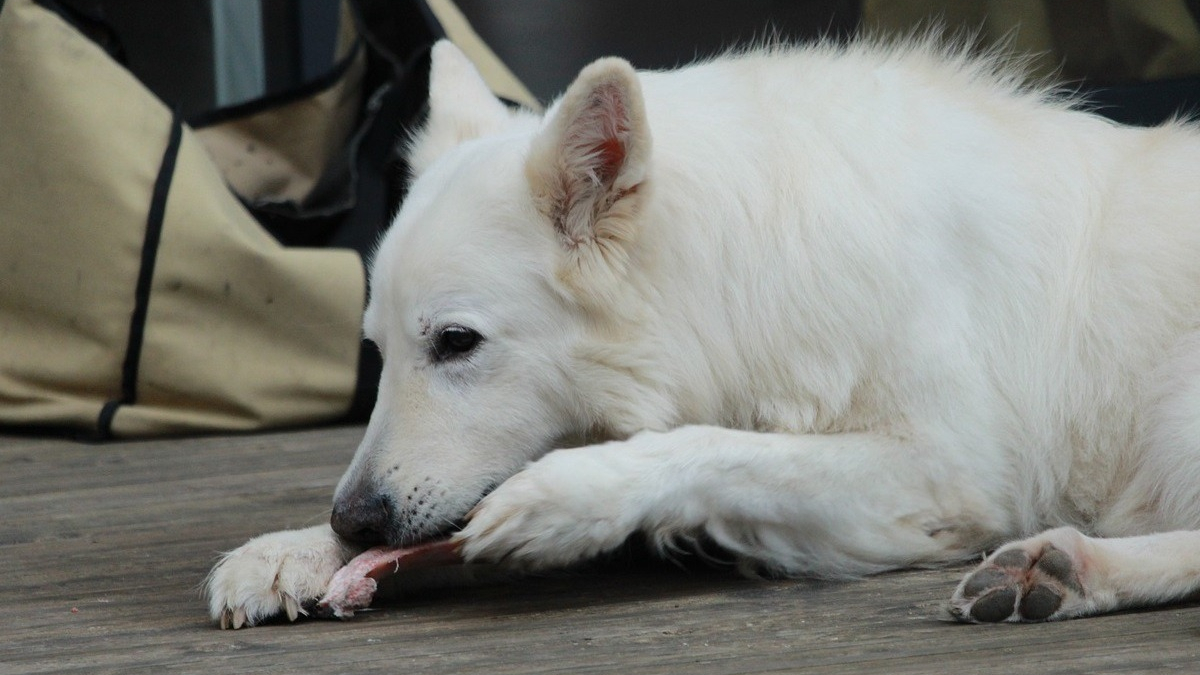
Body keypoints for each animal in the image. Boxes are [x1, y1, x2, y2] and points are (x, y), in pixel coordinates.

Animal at [208, 36, 1200, 624]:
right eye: (377, 351)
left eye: (455, 342)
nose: (353, 516)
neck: (739, 263)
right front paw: (292, 551)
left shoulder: (944, 471)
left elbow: (719, 446)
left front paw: (567, 497)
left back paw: (1070, 566)